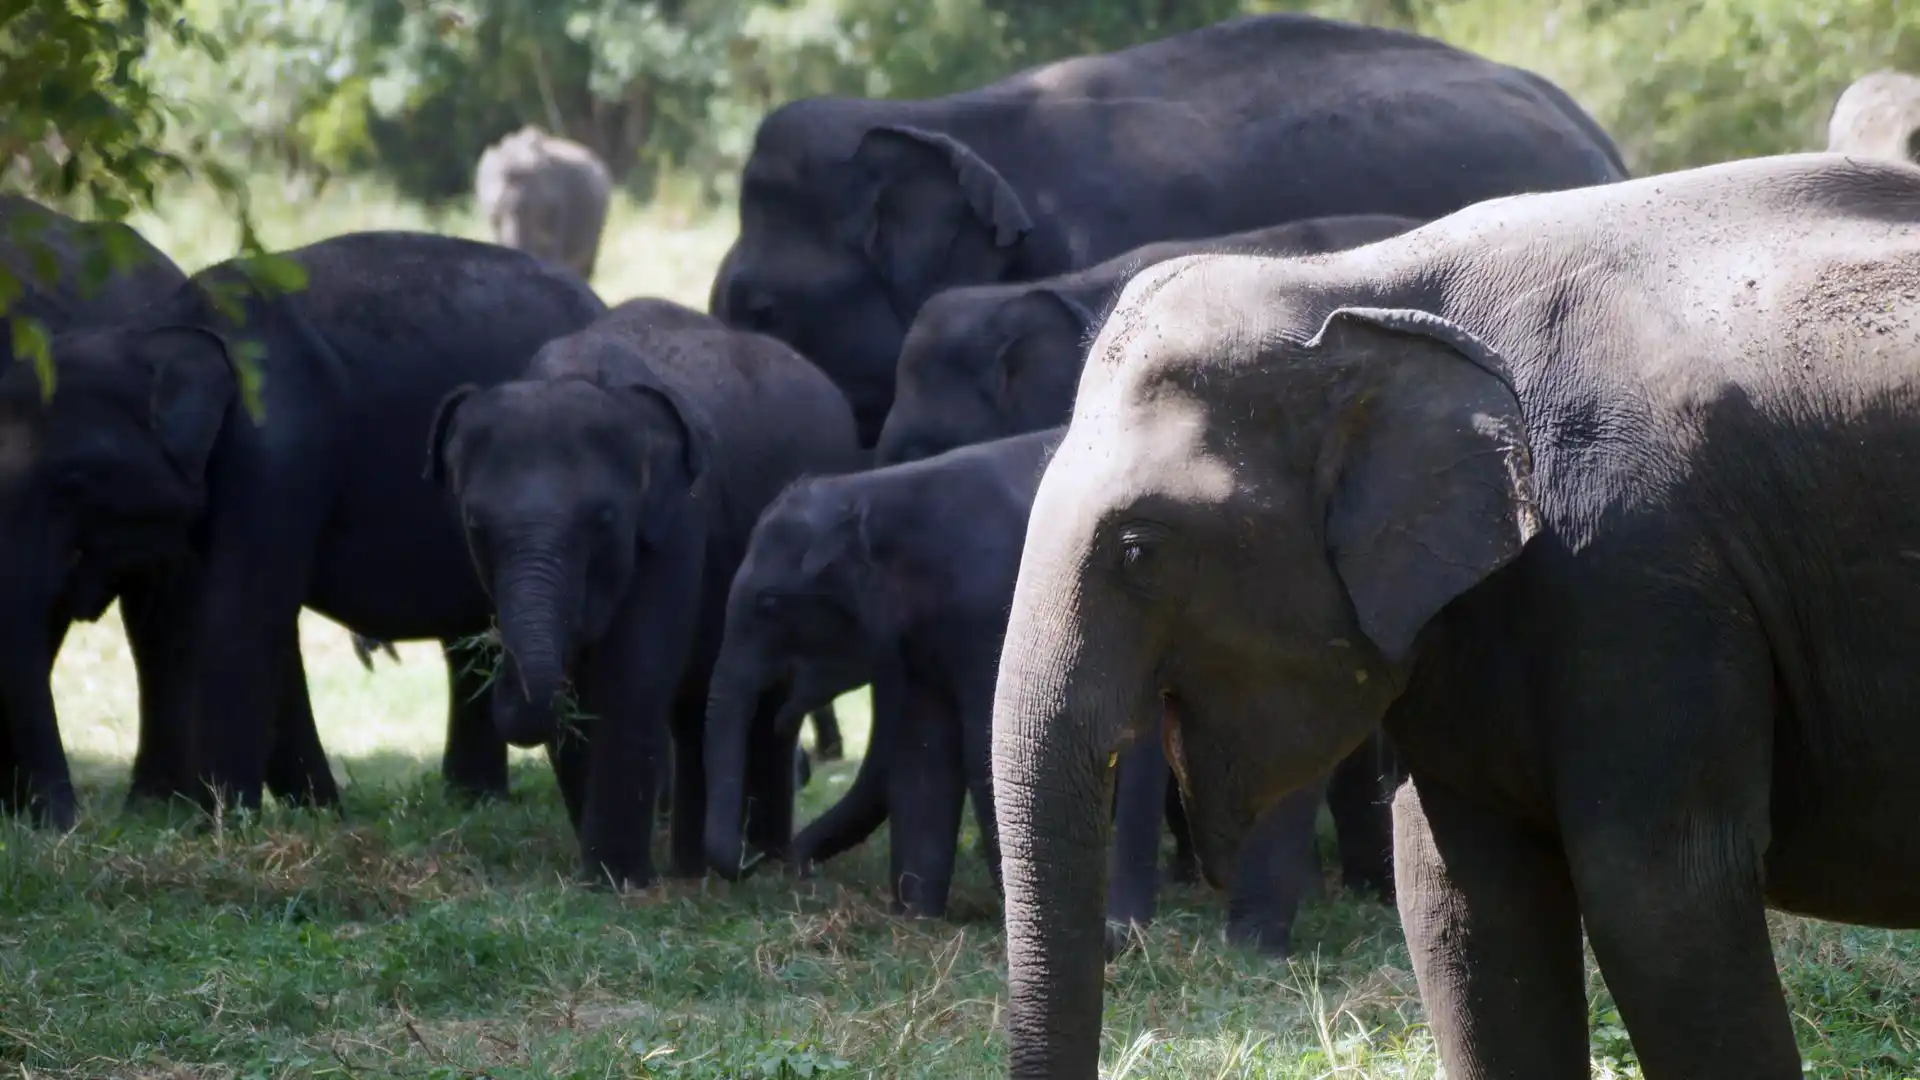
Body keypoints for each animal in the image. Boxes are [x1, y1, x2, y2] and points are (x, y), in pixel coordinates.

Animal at [2, 231, 606, 823]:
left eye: (71, 480)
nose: (65, 823)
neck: (154, 328)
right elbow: (220, 621)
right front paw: (314, 815)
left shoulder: (279, 450)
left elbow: (240, 612)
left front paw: (221, 826)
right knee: (469, 637)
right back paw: (472, 803)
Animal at [428, 297, 864, 886]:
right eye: (475, 525)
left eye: (604, 520)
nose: (496, 663)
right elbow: (583, 698)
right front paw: (604, 877)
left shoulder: (678, 523)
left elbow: (632, 675)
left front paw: (616, 882)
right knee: (696, 708)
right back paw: (693, 872)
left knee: (767, 705)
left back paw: (764, 862)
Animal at [704, 428, 1394, 941]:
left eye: (768, 604)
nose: (769, 865)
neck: (876, 493)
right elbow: (922, 752)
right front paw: (919, 920)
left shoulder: (988, 610)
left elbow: (985, 742)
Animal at [988, 152, 1920, 1079]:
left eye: (1138, 552)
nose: (1123, 944)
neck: (1353, 282)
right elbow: (1460, 901)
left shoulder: (1640, 575)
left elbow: (1661, 896)